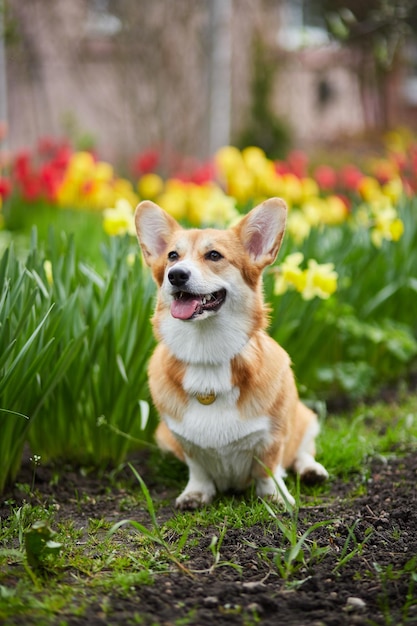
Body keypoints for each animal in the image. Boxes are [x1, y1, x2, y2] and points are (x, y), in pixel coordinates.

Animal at [135, 197, 326, 510]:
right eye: (173, 256)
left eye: (214, 255)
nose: (176, 275)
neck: (207, 353)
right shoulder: (183, 439)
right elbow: (197, 468)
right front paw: (196, 494)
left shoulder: (272, 434)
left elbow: (269, 468)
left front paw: (276, 497)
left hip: (306, 417)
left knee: (302, 452)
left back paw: (312, 470)